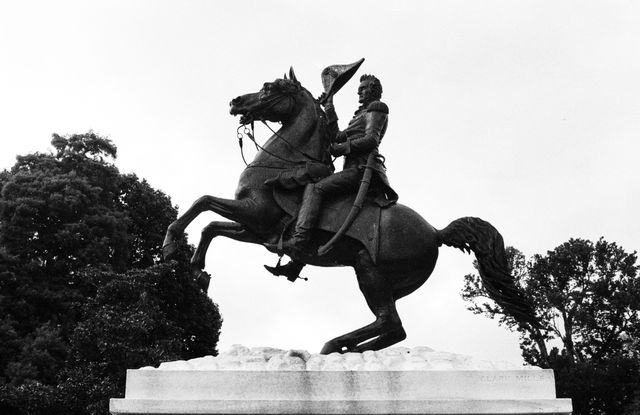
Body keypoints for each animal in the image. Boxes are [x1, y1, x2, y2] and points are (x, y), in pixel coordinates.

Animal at [162, 67, 536, 354]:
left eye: (270, 87)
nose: (235, 102)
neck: (282, 163)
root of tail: (435, 232)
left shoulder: (254, 213)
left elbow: (202, 203)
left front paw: (170, 246)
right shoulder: (256, 230)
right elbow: (211, 226)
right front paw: (196, 270)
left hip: (369, 271)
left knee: (390, 322)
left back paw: (337, 346)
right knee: (393, 328)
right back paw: (348, 349)